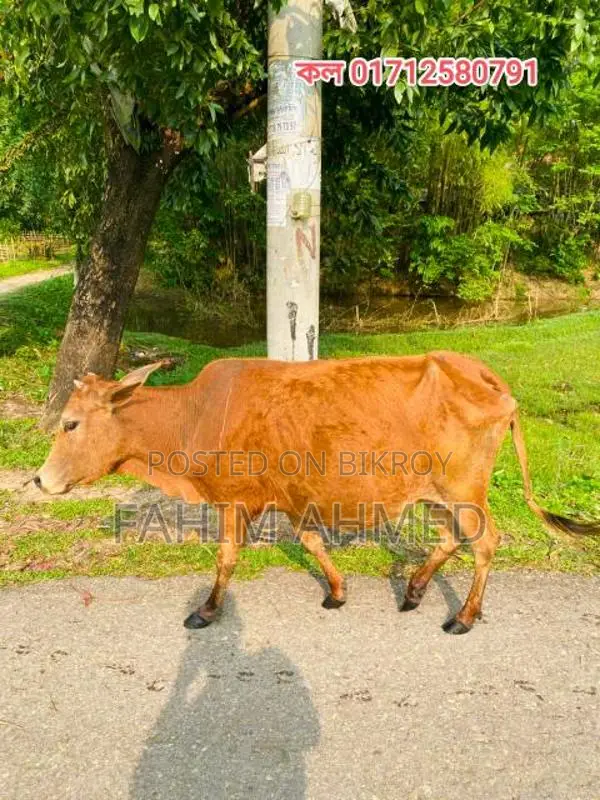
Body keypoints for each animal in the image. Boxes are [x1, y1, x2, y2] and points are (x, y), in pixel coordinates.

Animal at [34, 352, 600, 634]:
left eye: (70, 423)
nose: (40, 479)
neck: (192, 415)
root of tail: (481, 372)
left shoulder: (236, 501)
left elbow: (225, 559)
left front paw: (207, 611)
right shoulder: (292, 498)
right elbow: (311, 542)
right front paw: (337, 591)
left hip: (465, 487)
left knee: (484, 542)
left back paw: (462, 616)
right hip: (435, 491)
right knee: (450, 539)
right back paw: (415, 589)